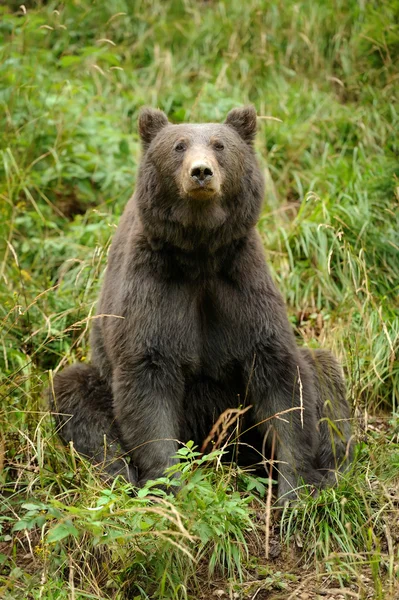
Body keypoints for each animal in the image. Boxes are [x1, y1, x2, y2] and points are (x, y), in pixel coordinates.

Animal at [50, 105, 354, 500]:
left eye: (220, 145)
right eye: (178, 145)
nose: (200, 172)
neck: (200, 251)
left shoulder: (240, 283)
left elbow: (282, 381)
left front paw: (294, 488)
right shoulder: (156, 288)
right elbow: (147, 379)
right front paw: (167, 484)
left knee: (324, 375)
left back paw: (333, 469)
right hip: (97, 380)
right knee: (78, 400)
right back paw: (119, 473)